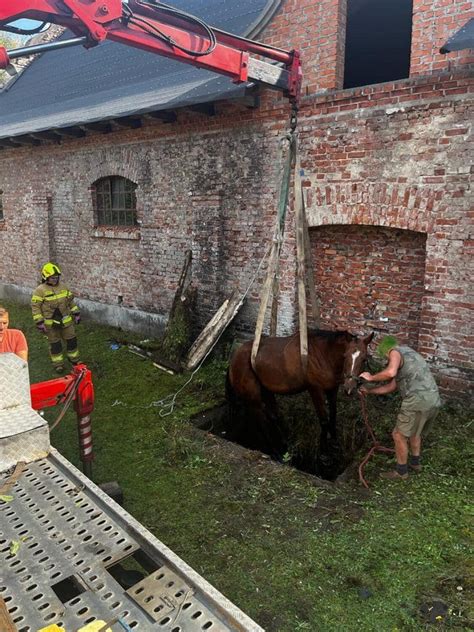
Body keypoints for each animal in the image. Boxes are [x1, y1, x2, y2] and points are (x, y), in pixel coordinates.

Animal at [229, 328, 374, 456]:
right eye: (345, 356)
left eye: (364, 359)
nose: (349, 388)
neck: (324, 354)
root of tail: (235, 355)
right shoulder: (315, 389)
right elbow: (324, 420)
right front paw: (324, 452)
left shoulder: (332, 389)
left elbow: (333, 417)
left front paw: (334, 443)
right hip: (254, 399)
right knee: (262, 422)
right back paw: (275, 452)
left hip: (266, 390)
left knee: (273, 416)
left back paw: (284, 444)